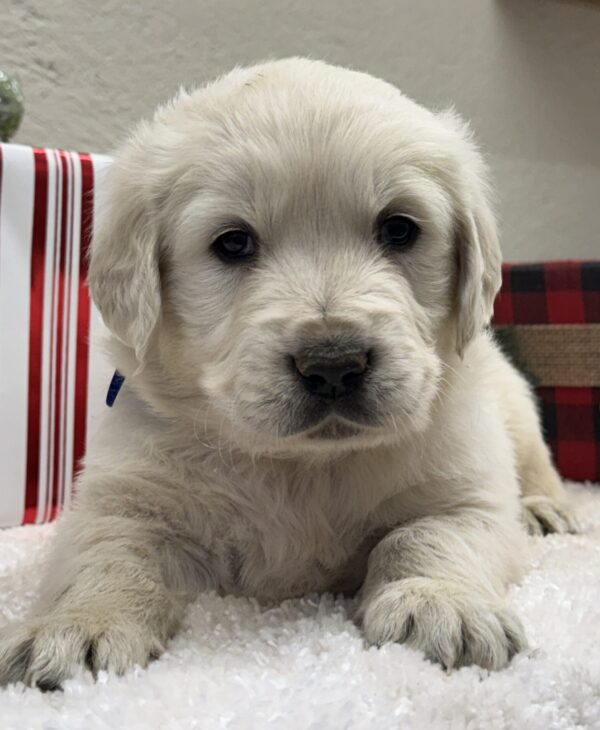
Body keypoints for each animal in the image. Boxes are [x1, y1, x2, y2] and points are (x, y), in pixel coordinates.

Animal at [0, 58, 576, 688]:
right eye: (233, 242)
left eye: (400, 229)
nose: (333, 365)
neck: (300, 466)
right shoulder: (124, 497)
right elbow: (109, 554)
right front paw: (78, 625)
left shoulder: (466, 493)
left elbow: (427, 535)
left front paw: (442, 602)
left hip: (515, 404)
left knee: (536, 465)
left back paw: (545, 508)